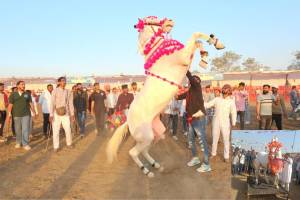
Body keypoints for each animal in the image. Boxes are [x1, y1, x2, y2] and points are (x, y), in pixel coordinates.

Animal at [106, 16, 224, 177]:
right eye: (151, 19)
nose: (170, 21)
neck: (159, 53)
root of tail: (128, 121)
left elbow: (197, 41)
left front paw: (213, 47)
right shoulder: (184, 58)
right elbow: (195, 35)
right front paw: (211, 47)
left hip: (156, 134)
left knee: (144, 150)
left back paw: (156, 165)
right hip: (146, 136)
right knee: (133, 152)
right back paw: (147, 171)